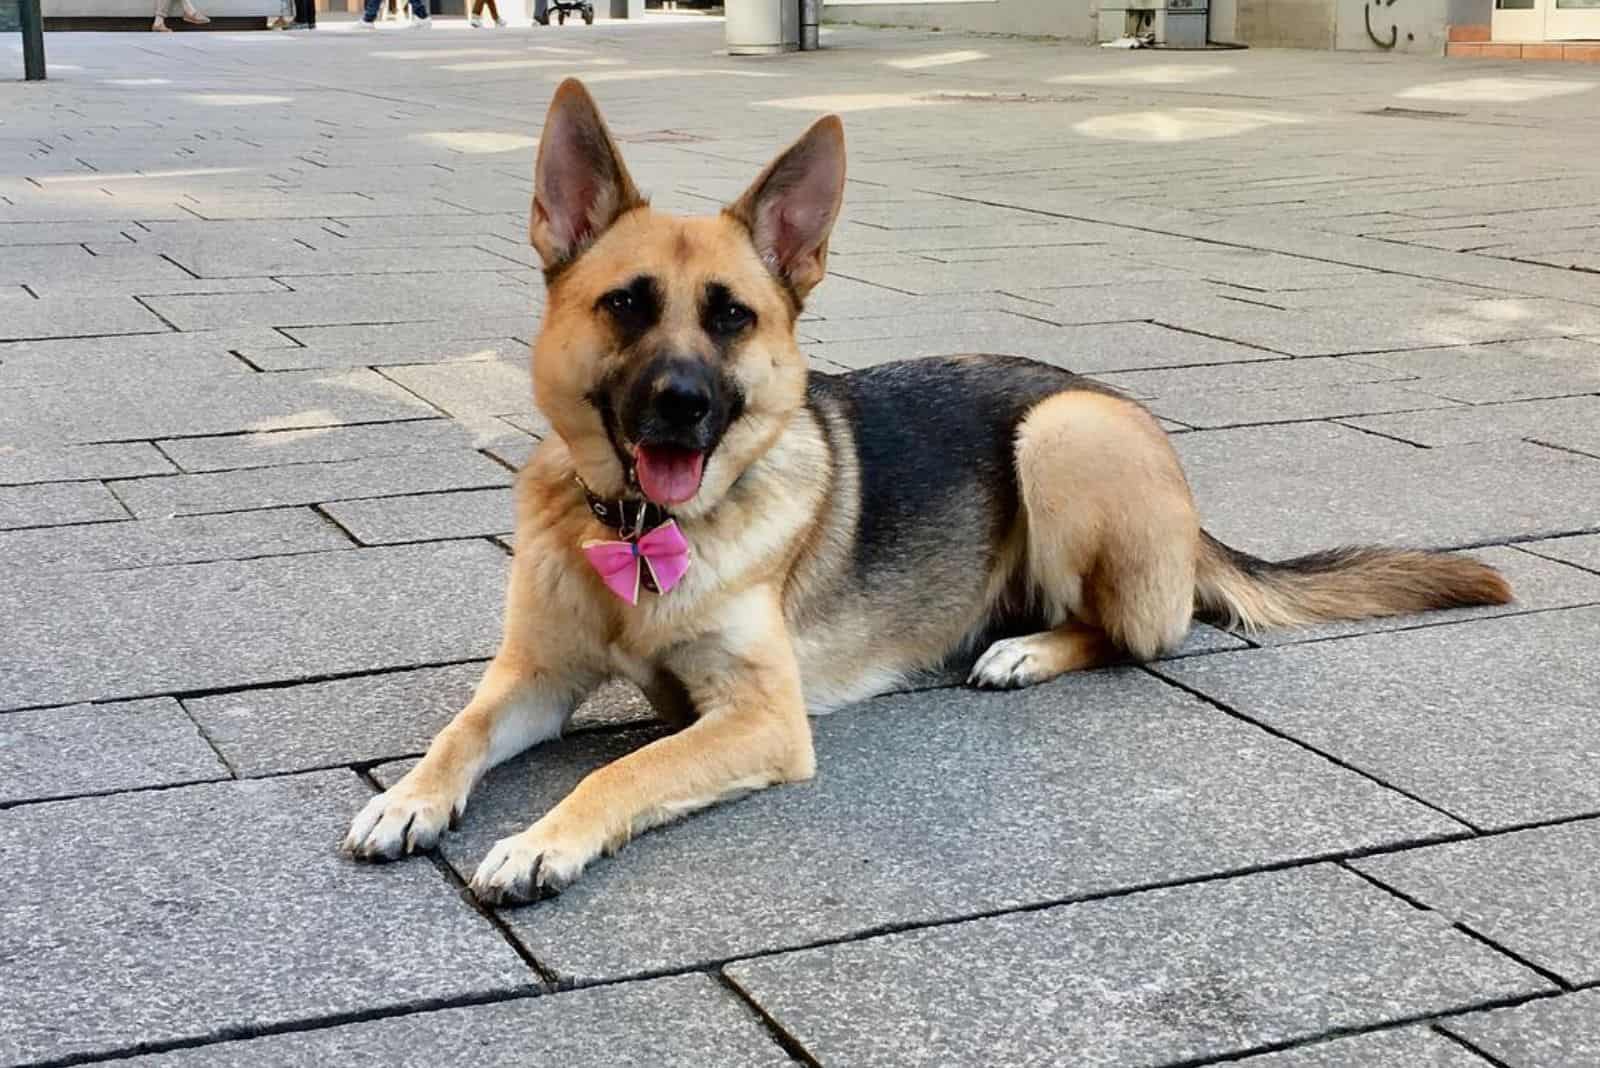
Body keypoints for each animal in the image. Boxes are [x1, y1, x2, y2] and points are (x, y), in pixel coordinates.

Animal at [344, 79, 1516, 908]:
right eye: (627, 305)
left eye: (731, 317)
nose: (682, 406)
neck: (642, 534)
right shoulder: (534, 680)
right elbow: (458, 731)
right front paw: (406, 797)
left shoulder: (761, 718)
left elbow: (621, 772)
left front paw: (539, 843)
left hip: (1061, 436)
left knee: (1140, 631)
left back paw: (1023, 650)